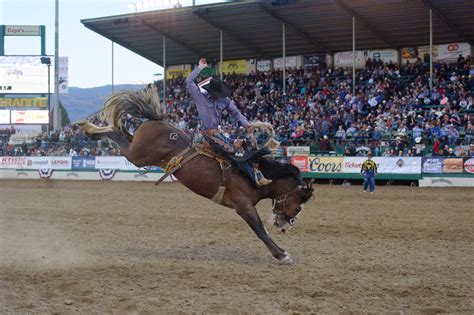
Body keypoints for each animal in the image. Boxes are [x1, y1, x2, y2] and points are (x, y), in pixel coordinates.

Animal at [78, 87, 314, 266]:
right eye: (298, 207)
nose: (284, 227)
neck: (255, 175)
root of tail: (158, 120)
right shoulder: (244, 207)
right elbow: (261, 231)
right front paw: (282, 255)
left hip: (137, 146)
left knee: (121, 130)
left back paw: (89, 128)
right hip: (138, 155)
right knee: (117, 134)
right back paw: (88, 128)